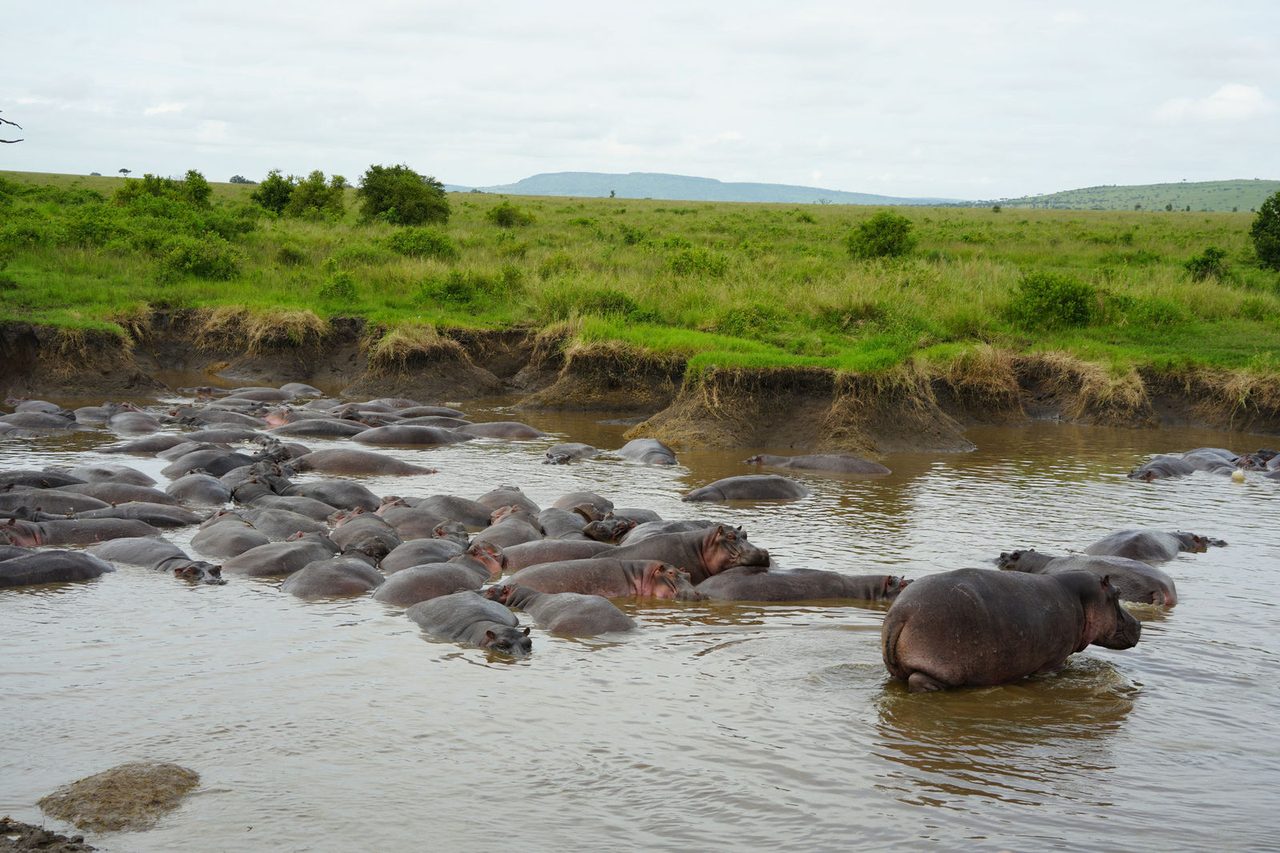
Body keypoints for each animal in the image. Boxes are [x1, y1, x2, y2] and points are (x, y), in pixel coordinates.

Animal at [881, 567, 1142, 692]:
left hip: (896, 668)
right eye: (1117, 593)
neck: (1082, 598)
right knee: (920, 680)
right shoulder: (1054, 662)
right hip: (941, 668)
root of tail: (900, 613)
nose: (1139, 624)